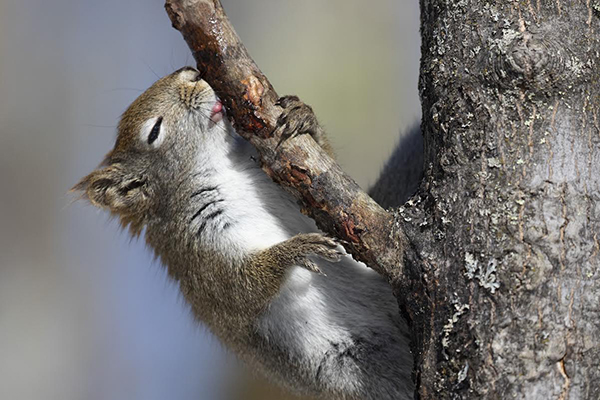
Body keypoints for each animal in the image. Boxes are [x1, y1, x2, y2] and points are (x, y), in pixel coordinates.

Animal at [74, 67, 422, 398]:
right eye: (154, 131)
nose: (191, 72)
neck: (224, 168)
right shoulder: (198, 251)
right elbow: (242, 288)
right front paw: (293, 251)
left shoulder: (295, 185)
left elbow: (331, 180)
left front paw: (303, 115)